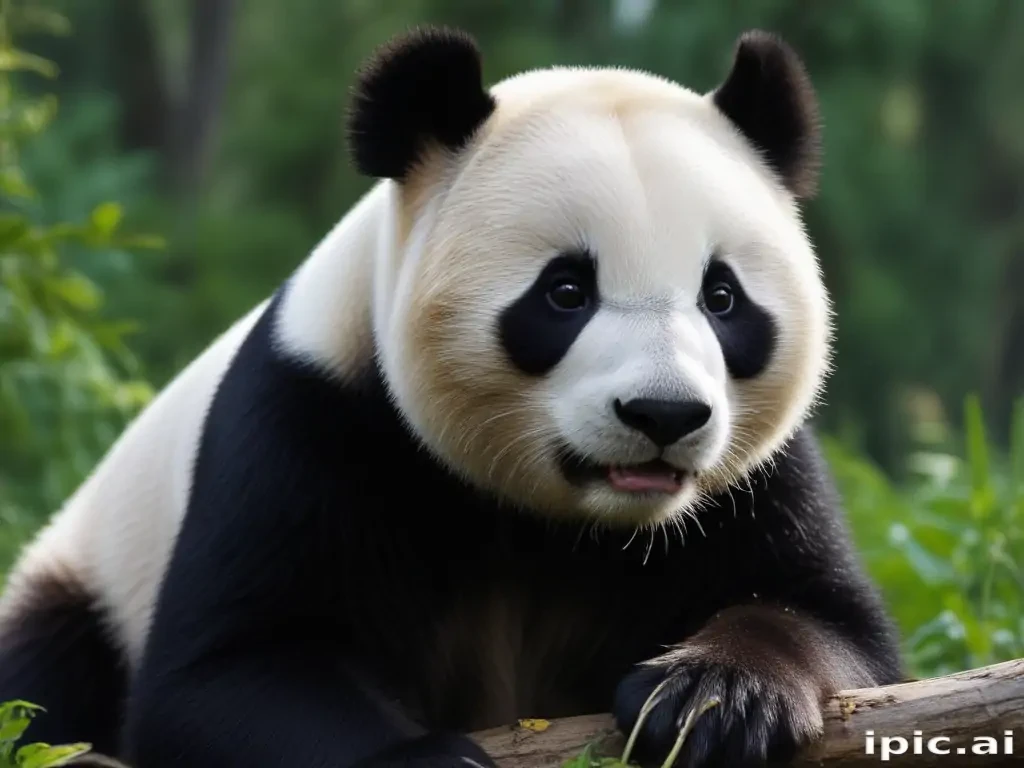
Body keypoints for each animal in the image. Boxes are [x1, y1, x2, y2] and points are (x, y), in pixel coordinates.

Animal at [0, 25, 902, 768]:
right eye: (565, 292)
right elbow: (225, 672)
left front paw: (713, 700)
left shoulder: (754, 479)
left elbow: (832, 623)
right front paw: (428, 759)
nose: (664, 416)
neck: (558, 523)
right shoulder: (309, 413)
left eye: (722, 298)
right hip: (83, 581)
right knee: (45, 678)